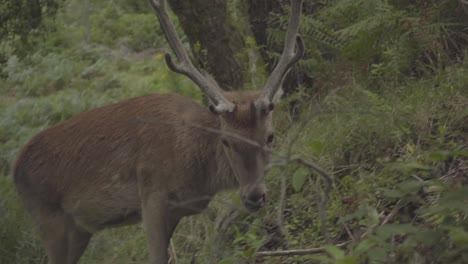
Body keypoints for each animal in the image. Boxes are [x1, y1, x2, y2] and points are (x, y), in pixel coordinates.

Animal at [12, 0, 306, 264]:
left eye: (270, 136)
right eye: (225, 141)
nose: (255, 196)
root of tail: (16, 167)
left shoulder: (176, 211)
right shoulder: (152, 193)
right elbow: (154, 256)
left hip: (79, 229)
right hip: (47, 216)